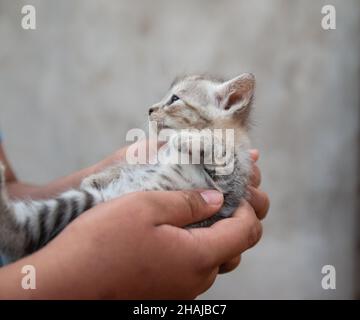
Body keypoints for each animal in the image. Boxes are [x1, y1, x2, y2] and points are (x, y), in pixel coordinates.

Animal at [0, 72, 255, 262]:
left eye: (174, 99)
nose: (150, 109)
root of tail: (113, 197)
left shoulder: (226, 190)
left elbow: (219, 151)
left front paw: (188, 139)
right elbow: (134, 165)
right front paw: (98, 177)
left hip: (78, 204)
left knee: (21, 235)